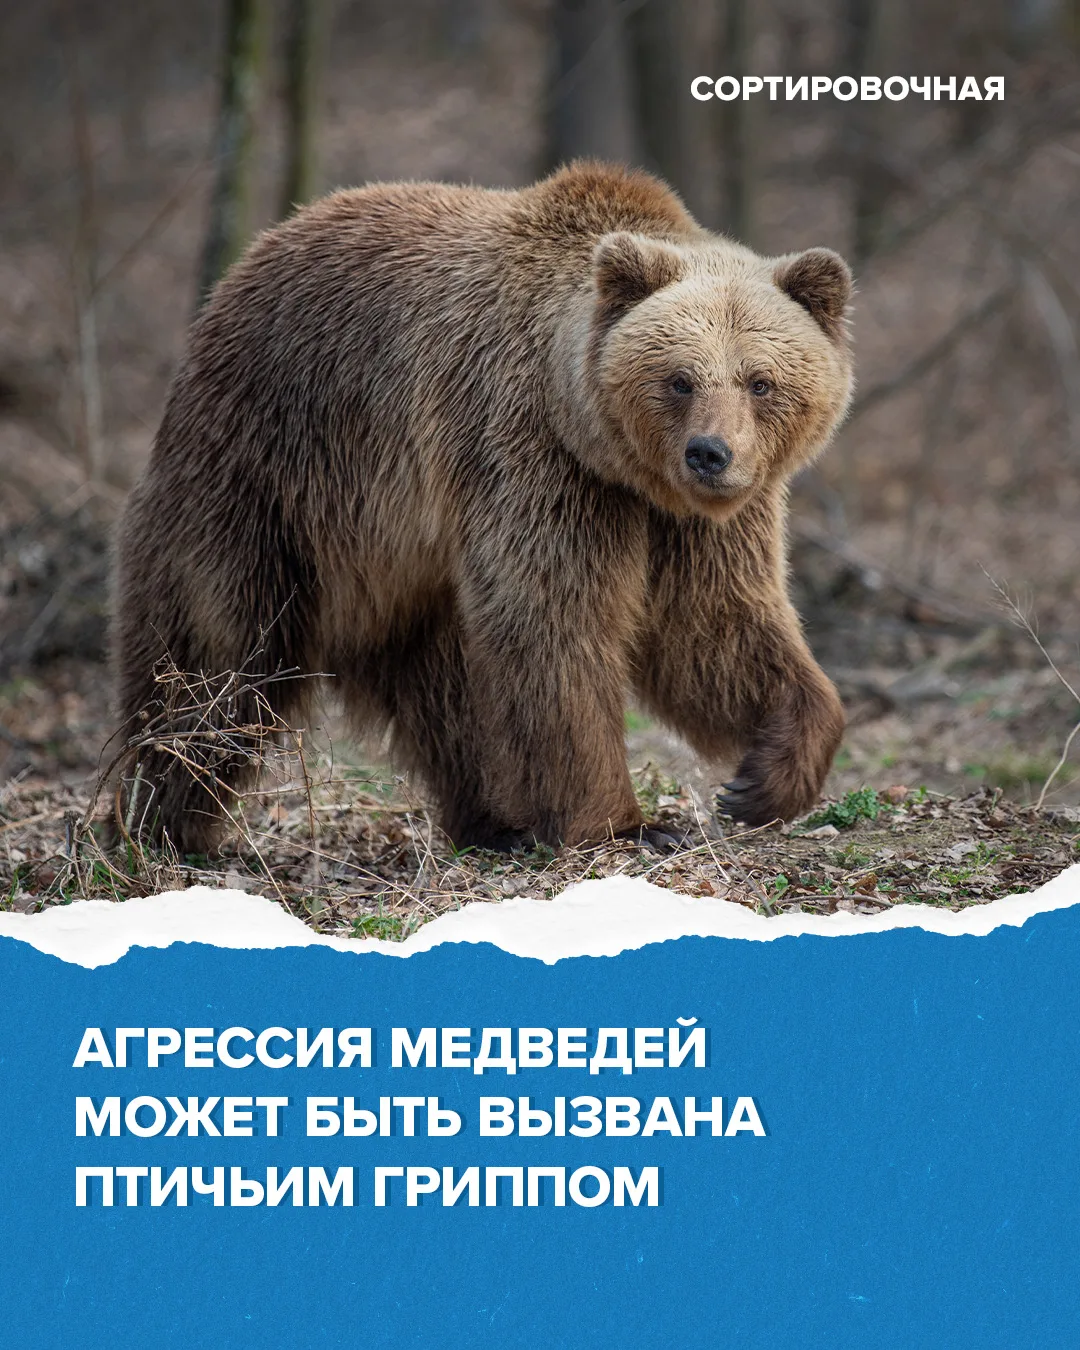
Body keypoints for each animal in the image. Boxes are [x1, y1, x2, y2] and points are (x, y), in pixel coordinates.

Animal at [112, 161, 853, 855]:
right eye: (679, 379)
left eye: (760, 381)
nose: (710, 453)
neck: (607, 451)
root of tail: (236, 278)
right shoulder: (528, 451)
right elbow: (553, 621)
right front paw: (629, 824)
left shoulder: (688, 520)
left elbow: (714, 626)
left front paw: (762, 779)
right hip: (263, 476)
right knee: (216, 658)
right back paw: (163, 822)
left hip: (401, 561)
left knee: (445, 689)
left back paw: (495, 821)